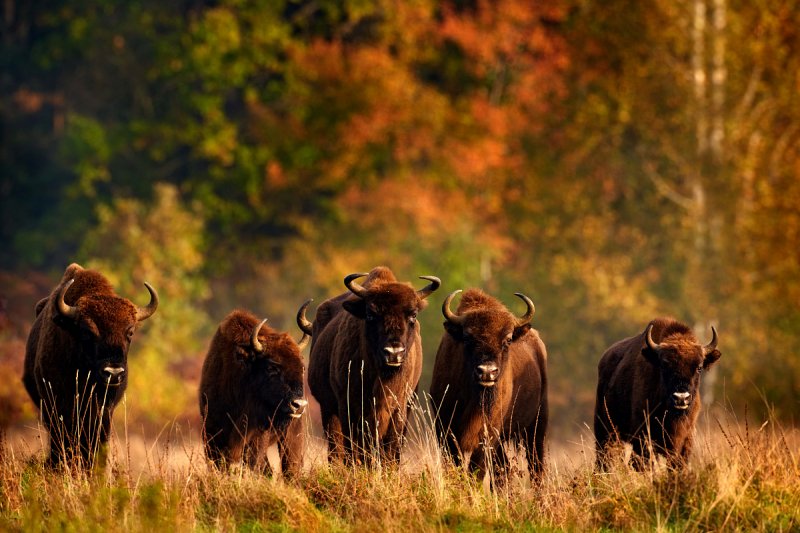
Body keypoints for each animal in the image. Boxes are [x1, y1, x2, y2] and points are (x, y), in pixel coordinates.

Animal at [198, 302, 310, 476]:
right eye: (271, 367)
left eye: (302, 368)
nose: (299, 405)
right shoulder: (212, 435)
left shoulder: (257, 437)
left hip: (291, 437)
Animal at [308, 266, 444, 466]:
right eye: (371, 314)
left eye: (413, 315)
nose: (394, 352)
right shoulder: (347, 406)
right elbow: (353, 446)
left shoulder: (399, 408)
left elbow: (390, 448)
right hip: (328, 408)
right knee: (336, 447)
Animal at [432, 288, 552, 484]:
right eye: (467, 338)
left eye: (508, 340)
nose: (487, 372)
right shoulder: (444, 428)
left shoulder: (488, 434)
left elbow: (476, 470)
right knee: (504, 470)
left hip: (537, 426)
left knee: (536, 467)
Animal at [592, 316, 720, 470]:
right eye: (664, 365)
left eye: (699, 367)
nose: (681, 398)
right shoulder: (643, 436)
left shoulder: (685, 439)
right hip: (605, 431)